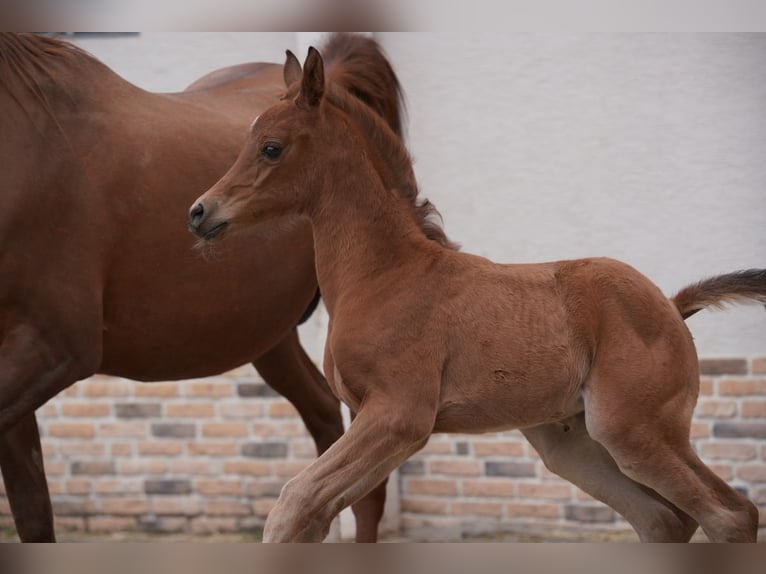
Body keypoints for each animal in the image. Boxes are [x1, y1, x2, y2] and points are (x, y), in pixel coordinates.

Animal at [0, 31, 404, 544]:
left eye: (271, 149)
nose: (198, 213)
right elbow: (33, 511)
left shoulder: (56, 348)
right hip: (268, 337)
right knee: (325, 428)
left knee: (365, 481)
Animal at [188, 47, 766, 544]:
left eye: (271, 147)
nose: (199, 212)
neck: (383, 274)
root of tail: (670, 305)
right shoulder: (379, 423)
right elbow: (311, 511)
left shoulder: (399, 416)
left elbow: (291, 505)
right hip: (573, 442)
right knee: (663, 521)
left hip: (636, 431)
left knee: (731, 514)